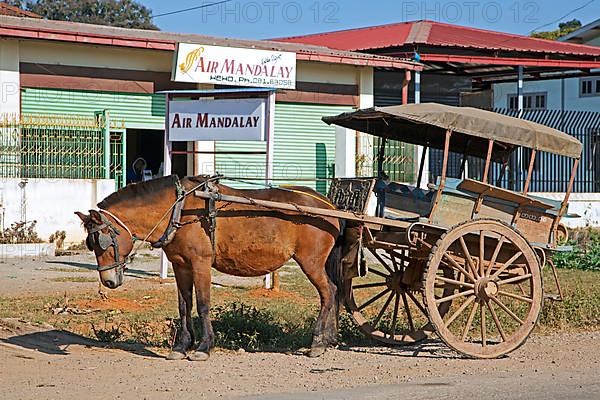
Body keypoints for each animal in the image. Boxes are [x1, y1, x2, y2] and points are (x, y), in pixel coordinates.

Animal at [76, 174, 342, 360]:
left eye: (104, 241)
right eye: (91, 244)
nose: (108, 281)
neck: (180, 209)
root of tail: (329, 206)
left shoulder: (200, 263)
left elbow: (203, 305)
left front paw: (204, 347)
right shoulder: (180, 265)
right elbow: (184, 306)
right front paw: (182, 345)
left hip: (311, 261)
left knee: (327, 293)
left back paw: (318, 342)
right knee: (334, 291)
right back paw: (329, 338)